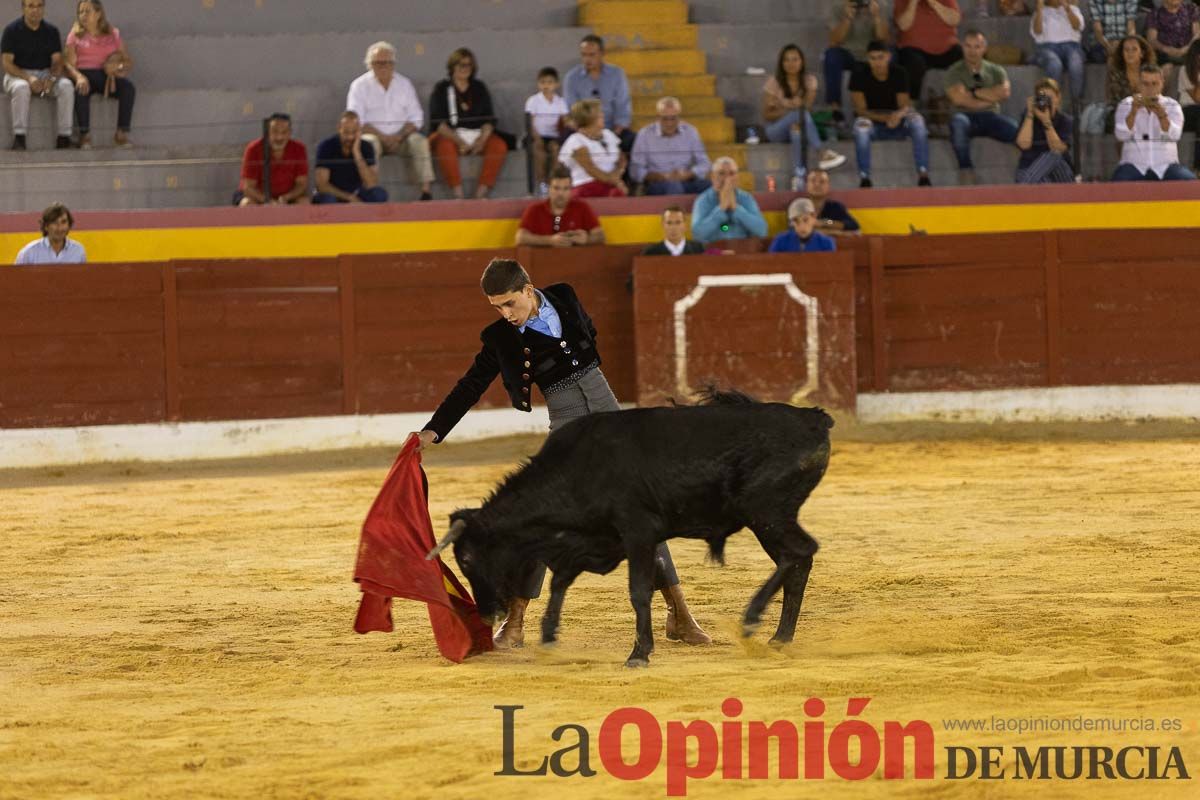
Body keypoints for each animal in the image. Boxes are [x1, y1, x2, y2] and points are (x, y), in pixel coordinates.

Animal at [432, 391, 835, 666]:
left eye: (466, 559)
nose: (486, 614)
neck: (575, 470)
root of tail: (814, 420)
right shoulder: (592, 542)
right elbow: (560, 581)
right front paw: (549, 635)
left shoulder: (638, 532)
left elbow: (638, 590)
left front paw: (639, 653)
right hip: (770, 518)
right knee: (796, 561)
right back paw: (779, 638)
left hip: (764, 510)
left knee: (799, 553)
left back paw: (752, 620)